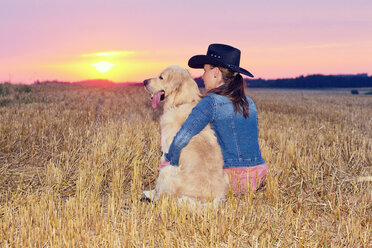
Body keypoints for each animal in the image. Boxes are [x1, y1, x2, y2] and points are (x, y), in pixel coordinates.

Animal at [144, 65, 228, 204]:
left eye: (161, 77)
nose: (144, 81)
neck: (181, 102)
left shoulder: (166, 152)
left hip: (167, 170)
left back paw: (148, 194)